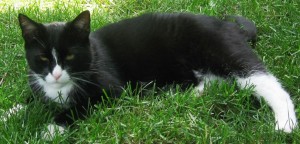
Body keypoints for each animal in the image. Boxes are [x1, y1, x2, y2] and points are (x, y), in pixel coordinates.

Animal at [18, 10, 298, 139]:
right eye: (42, 58)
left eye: (69, 57)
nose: (55, 75)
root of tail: (228, 25)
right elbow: (32, 98)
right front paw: (15, 110)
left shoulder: (111, 90)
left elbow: (80, 106)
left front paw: (49, 130)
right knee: (212, 82)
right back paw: (182, 95)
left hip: (222, 50)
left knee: (265, 82)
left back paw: (284, 124)